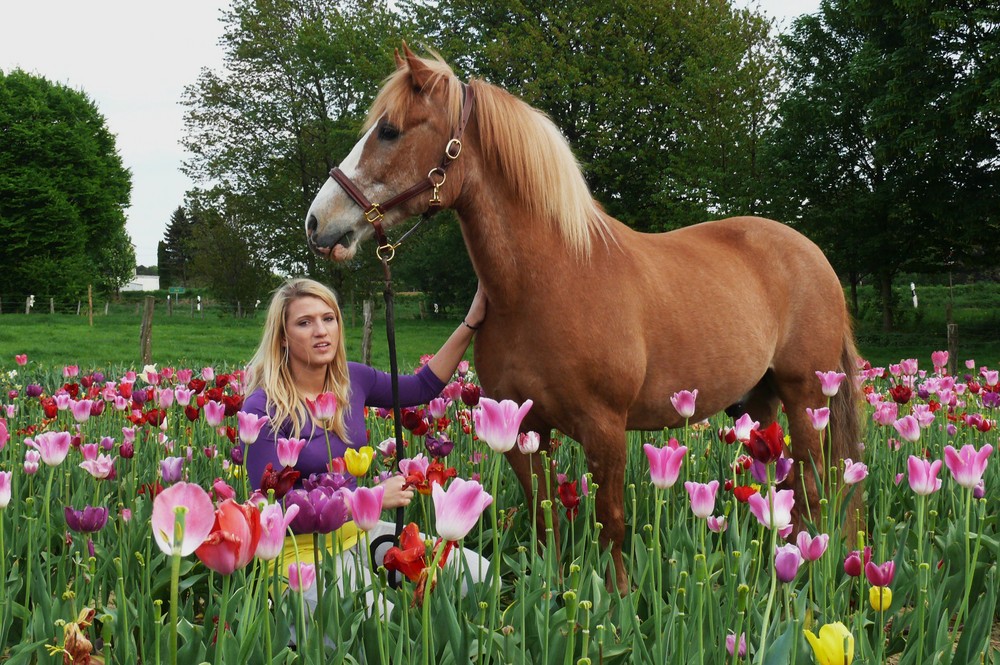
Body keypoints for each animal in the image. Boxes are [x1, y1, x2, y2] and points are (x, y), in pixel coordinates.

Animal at [302, 46, 860, 592]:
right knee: (783, 485)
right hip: (761, 401)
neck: (551, 282)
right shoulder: (522, 430)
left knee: (812, 486)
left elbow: (610, 522)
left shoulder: (605, 430)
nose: (317, 222)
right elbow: (542, 515)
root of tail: (813, 255)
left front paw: (616, 601)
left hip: (805, 397)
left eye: (390, 130)